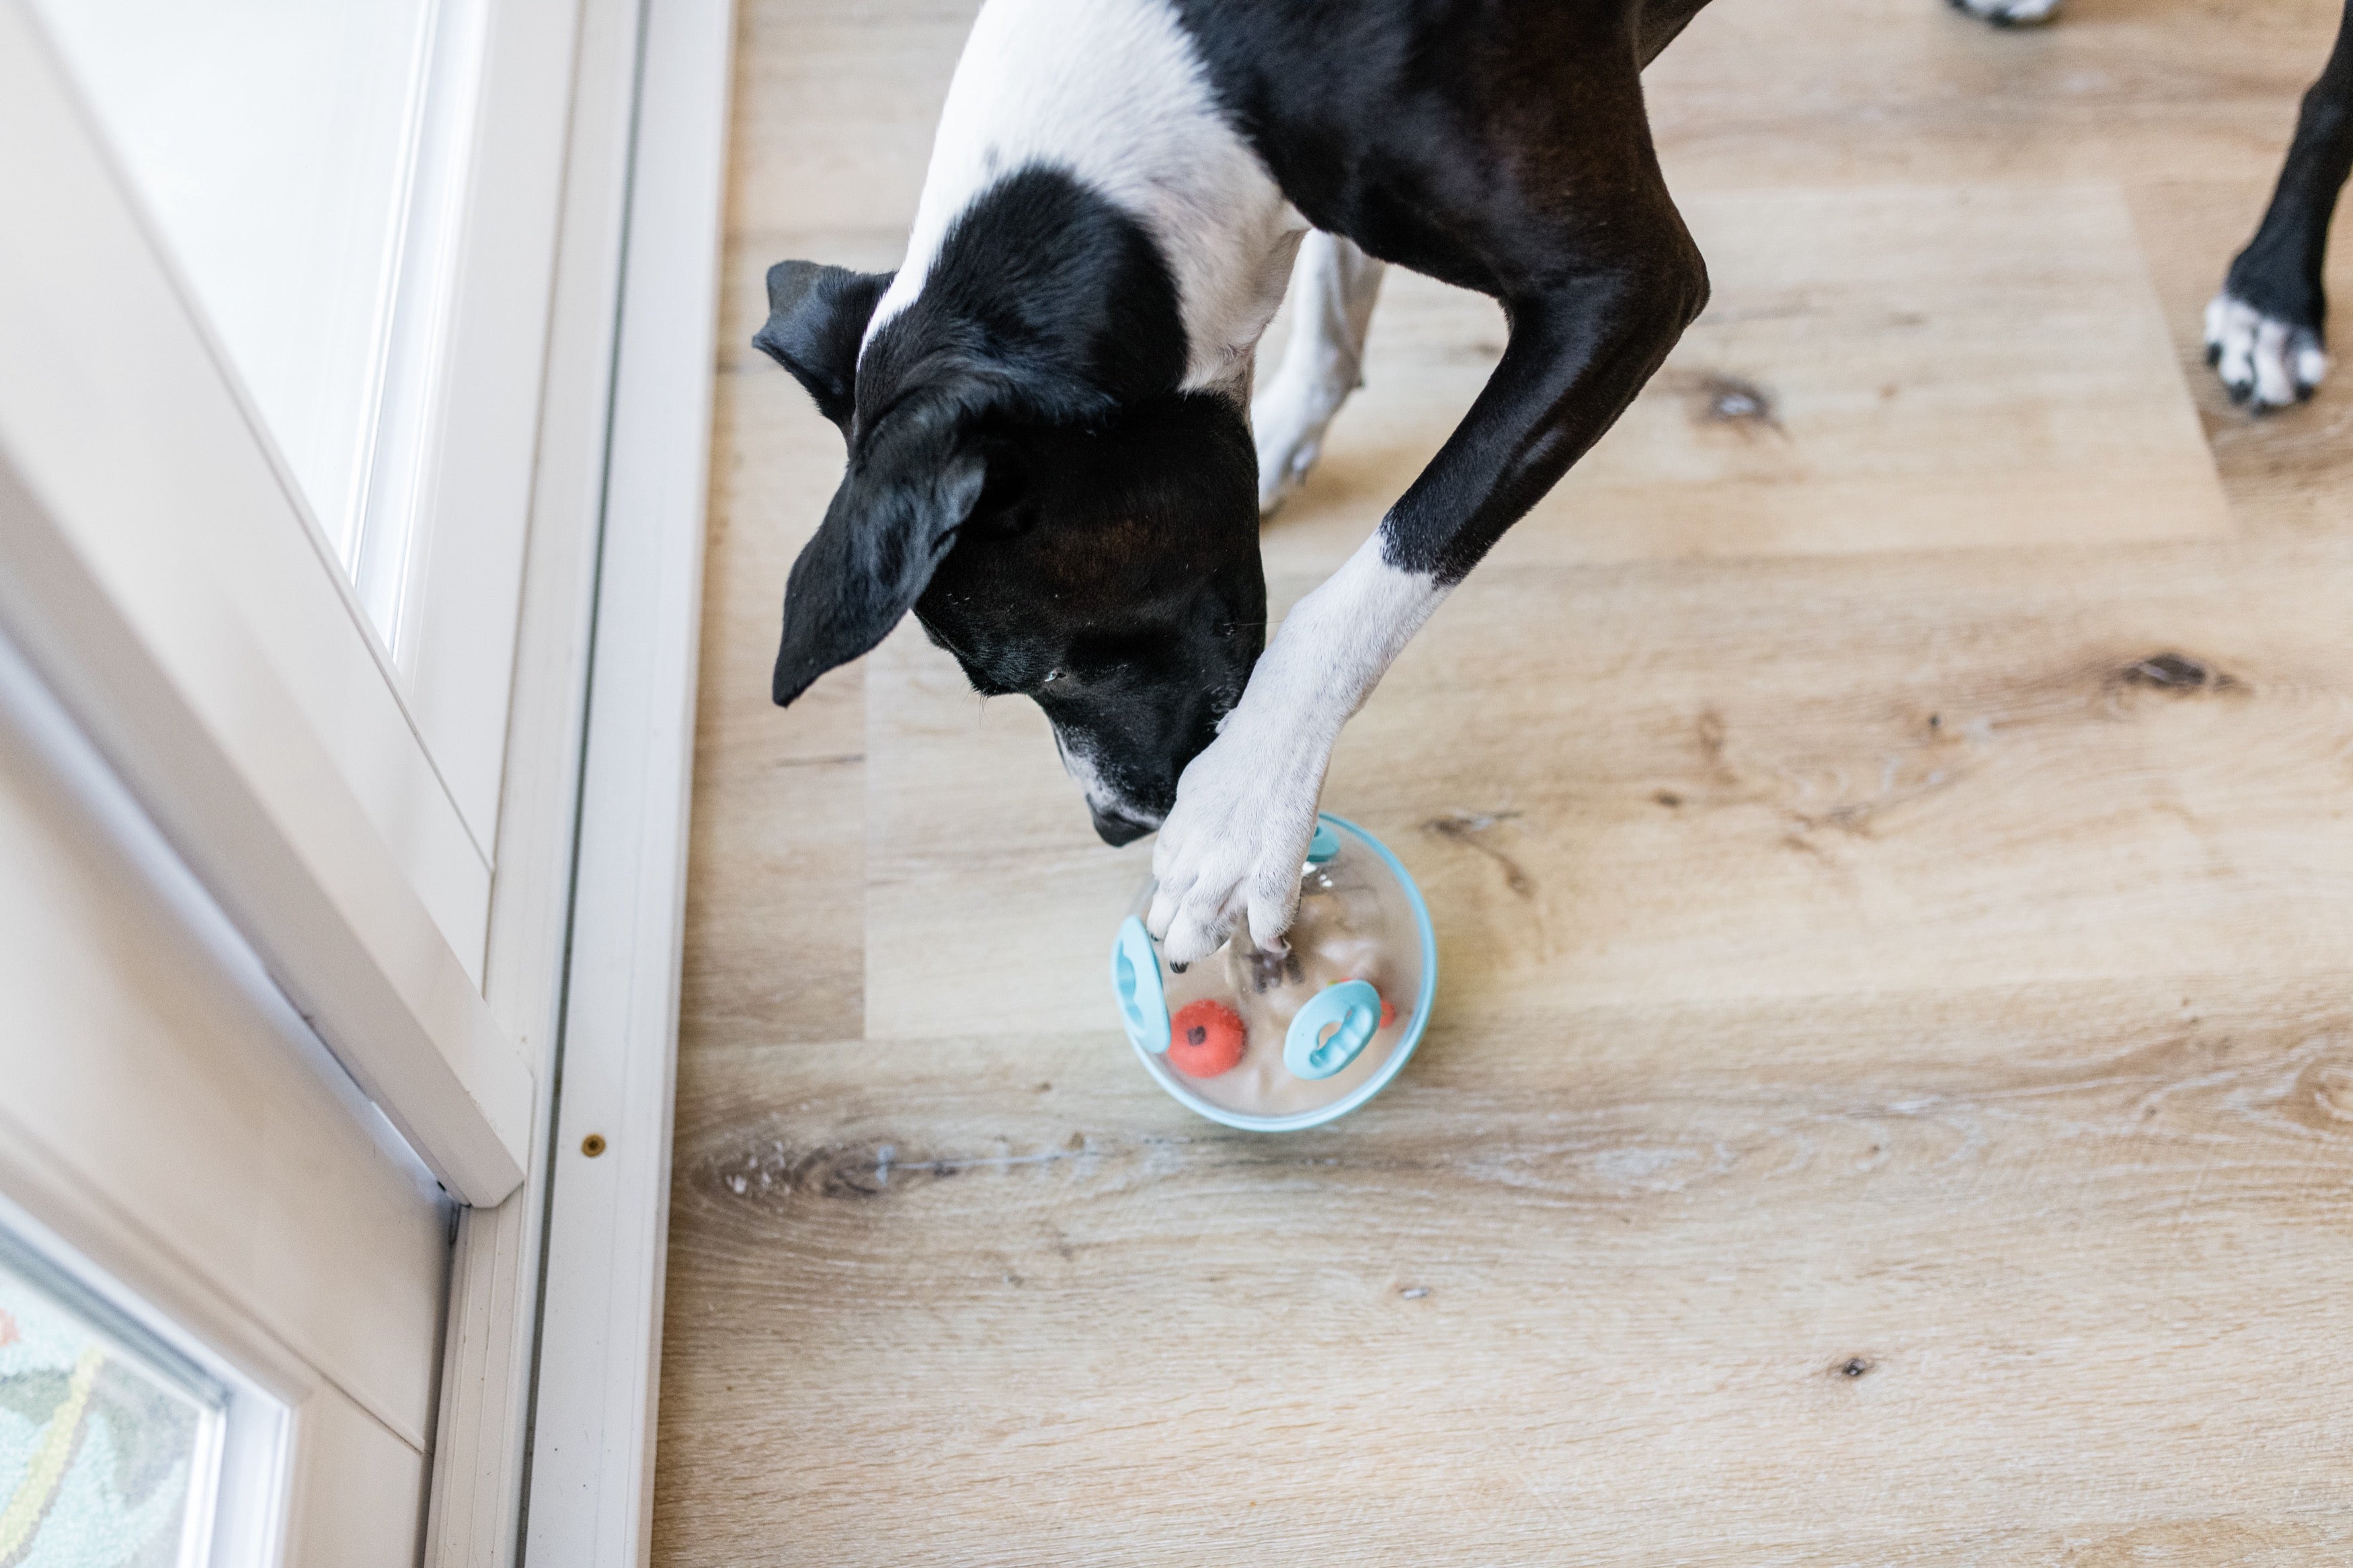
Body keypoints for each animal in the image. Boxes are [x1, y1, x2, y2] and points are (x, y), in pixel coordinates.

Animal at [758, 0, 2353, 968]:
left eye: (1026, 664)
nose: (1115, 824)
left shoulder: (1623, 287)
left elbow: (1400, 556)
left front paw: (1244, 806)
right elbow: (1332, 294)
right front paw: (1287, 428)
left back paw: (2273, 291)